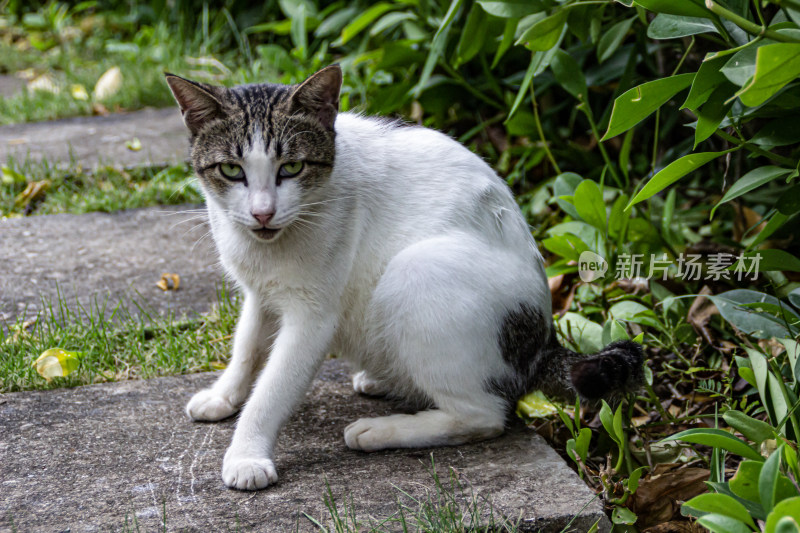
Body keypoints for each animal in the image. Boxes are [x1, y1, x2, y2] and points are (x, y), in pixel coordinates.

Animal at [166, 65, 640, 490]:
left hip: (415, 272)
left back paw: (383, 430)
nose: (262, 213)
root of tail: (542, 341)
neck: (267, 247)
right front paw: (225, 395)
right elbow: (247, 346)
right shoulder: (260, 294)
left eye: (293, 167)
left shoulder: (313, 316)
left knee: (484, 415)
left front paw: (247, 453)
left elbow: (273, 388)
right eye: (231, 170)